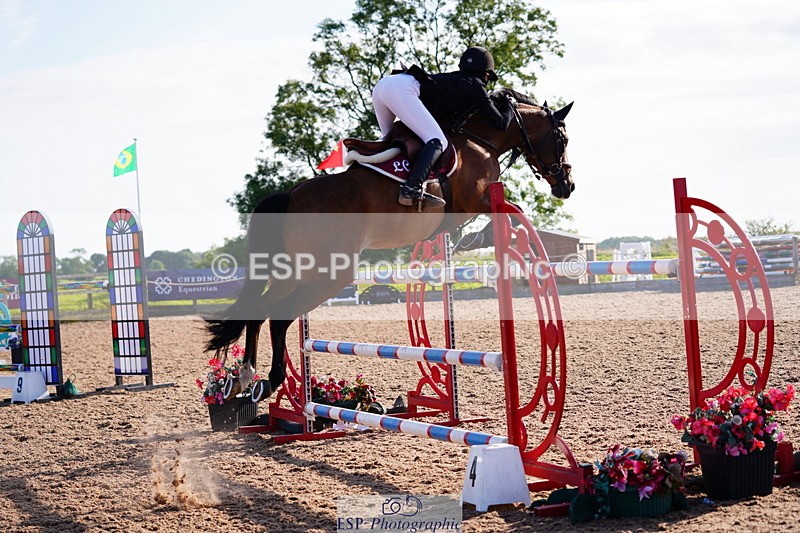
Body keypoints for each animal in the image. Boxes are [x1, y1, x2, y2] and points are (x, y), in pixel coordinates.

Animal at [205, 88, 574, 400]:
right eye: (562, 138)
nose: (566, 185)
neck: (480, 139)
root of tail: (291, 195)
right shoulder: (475, 202)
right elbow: (512, 212)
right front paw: (477, 238)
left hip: (293, 272)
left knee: (259, 311)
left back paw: (246, 376)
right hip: (327, 274)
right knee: (280, 316)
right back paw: (271, 380)